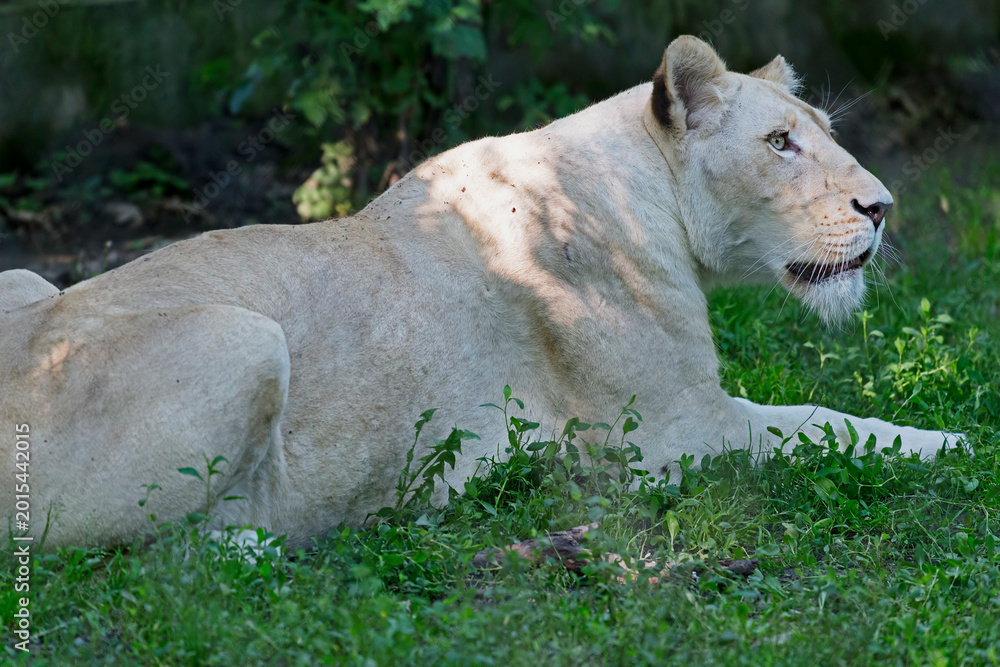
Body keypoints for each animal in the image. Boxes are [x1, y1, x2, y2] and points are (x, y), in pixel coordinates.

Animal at [0, 37, 959, 550]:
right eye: (779, 143)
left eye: (822, 132)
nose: (883, 206)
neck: (640, 189)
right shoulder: (674, 436)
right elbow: (826, 424)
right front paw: (953, 441)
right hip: (245, 338)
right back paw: (267, 543)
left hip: (23, 273)